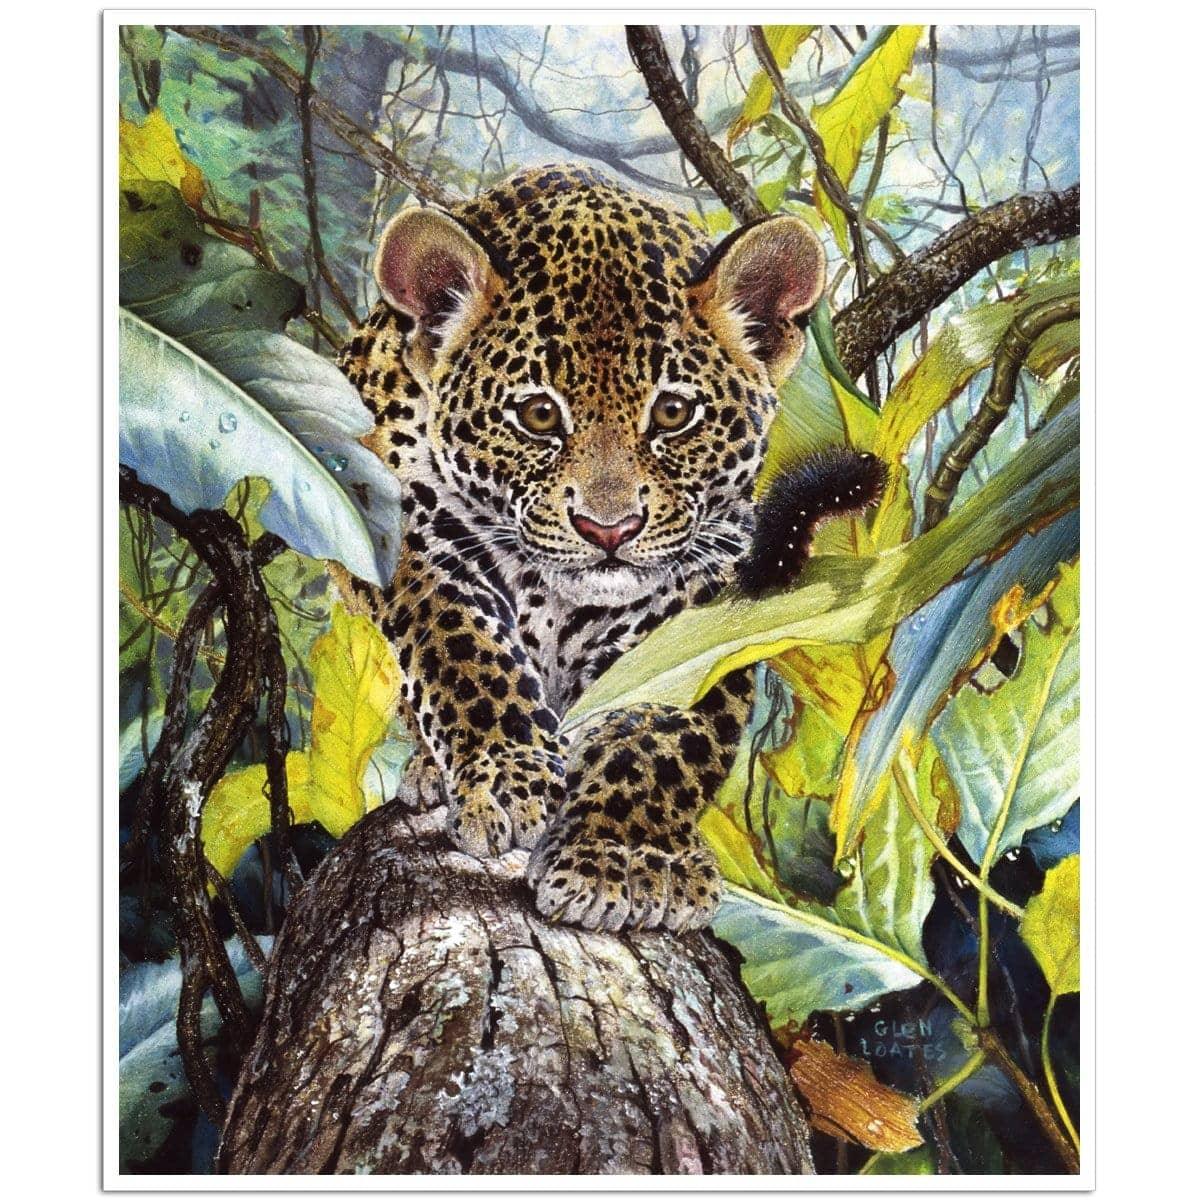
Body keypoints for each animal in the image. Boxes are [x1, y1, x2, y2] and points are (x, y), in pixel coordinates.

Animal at [335, 164, 827, 933]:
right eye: (538, 415)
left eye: (673, 413)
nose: (608, 529)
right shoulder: (402, 527)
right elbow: (460, 645)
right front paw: (510, 780)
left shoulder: (703, 587)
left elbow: (663, 723)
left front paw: (625, 857)